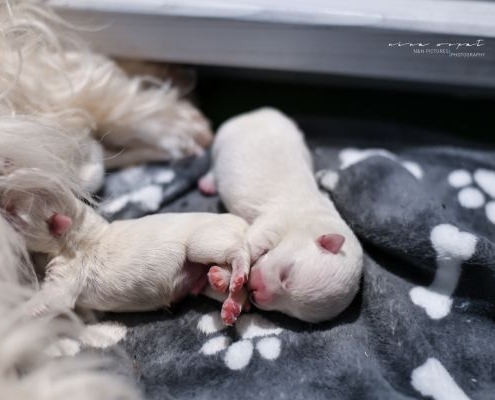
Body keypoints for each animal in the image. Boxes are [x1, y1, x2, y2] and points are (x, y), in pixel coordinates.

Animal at [2, 169, 252, 324]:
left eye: (12, 211)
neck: (80, 230)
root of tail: (242, 222)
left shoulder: (69, 269)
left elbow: (52, 297)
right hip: (203, 276)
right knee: (233, 288)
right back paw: (228, 295)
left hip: (204, 240)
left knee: (237, 252)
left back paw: (236, 272)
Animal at [199, 107, 364, 322]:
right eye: (286, 275)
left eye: (290, 311)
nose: (255, 292)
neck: (314, 219)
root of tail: (260, 111)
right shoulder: (273, 223)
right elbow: (246, 249)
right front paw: (227, 278)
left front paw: (234, 302)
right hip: (223, 138)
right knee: (213, 163)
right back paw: (208, 182)